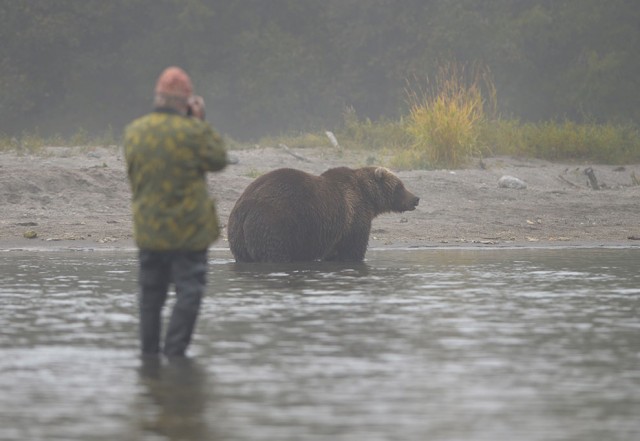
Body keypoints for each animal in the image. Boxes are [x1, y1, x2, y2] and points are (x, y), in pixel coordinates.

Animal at [226, 165, 420, 262]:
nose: (416, 198)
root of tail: (245, 208)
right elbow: (353, 249)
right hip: (275, 224)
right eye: (400, 186)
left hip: (238, 236)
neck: (367, 195)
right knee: (275, 253)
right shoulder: (354, 217)